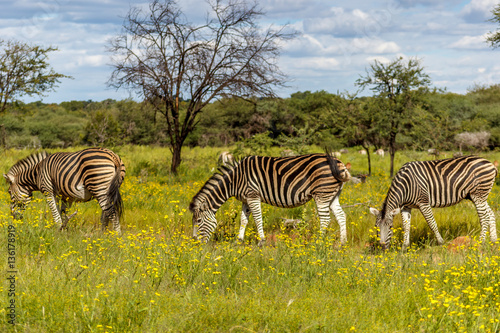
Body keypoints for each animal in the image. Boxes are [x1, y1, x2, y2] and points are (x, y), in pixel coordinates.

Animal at [188, 152, 352, 245]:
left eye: (199, 221)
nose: (195, 243)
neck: (235, 180)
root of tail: (339, 162)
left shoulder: (253, 195)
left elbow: (257, 218)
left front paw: (261, 241)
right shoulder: (245, 199)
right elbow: (243, 220)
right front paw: (238, 241)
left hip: (321, 194)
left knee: (325, 219)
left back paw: (318, 243)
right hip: (333, 195)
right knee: (341, 215)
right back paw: (343, 243)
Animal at [370, 155, 498, 249]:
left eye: (390, 227)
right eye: (376, 227)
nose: (382, 247)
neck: (406, 184)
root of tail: (490, 163)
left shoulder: (423, 202)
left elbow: (432, 223)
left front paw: (441, 243)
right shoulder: (405, 207)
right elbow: (406, 226)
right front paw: (404, 248)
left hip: (478, 195)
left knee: (484, 217)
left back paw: (480, 243)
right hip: (477, 196)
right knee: (490, 214)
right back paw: (493, 241)